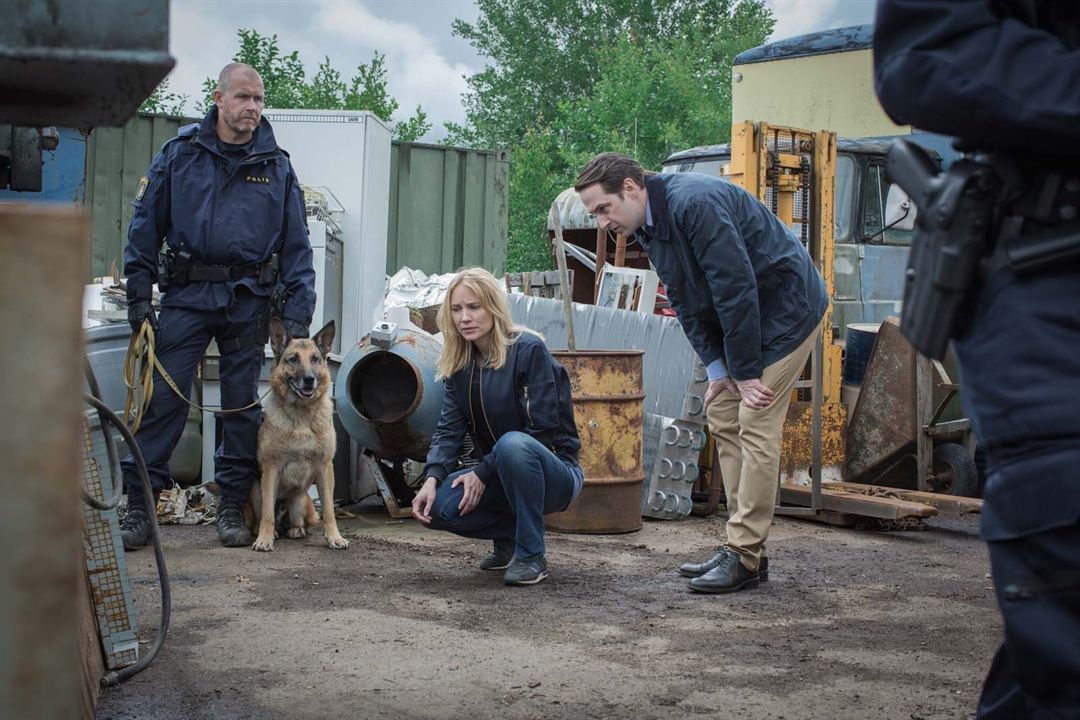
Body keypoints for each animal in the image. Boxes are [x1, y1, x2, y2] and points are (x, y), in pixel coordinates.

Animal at [247, 317, 345, 548]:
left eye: (315, 359)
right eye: (293, 359)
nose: (309, 379)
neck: (302, 415)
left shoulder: (325, 468)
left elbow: (329, 510)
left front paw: (334, 537)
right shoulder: (271, 469)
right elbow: (267, 515)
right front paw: (264, 539)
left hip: (302, 499)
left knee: (298, 520)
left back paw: (296, 529)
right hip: (256, 490)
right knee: (263, 518)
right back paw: (270, 532)